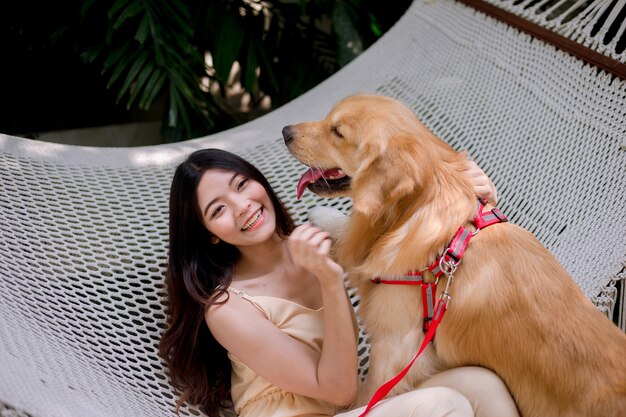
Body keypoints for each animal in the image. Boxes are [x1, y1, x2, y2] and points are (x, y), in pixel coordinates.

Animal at [282, 94, 624, 416]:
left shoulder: (396, 350)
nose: (286, 131)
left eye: (337, 132)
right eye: (329, 118)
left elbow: (368, 396)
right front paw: (323, 220)